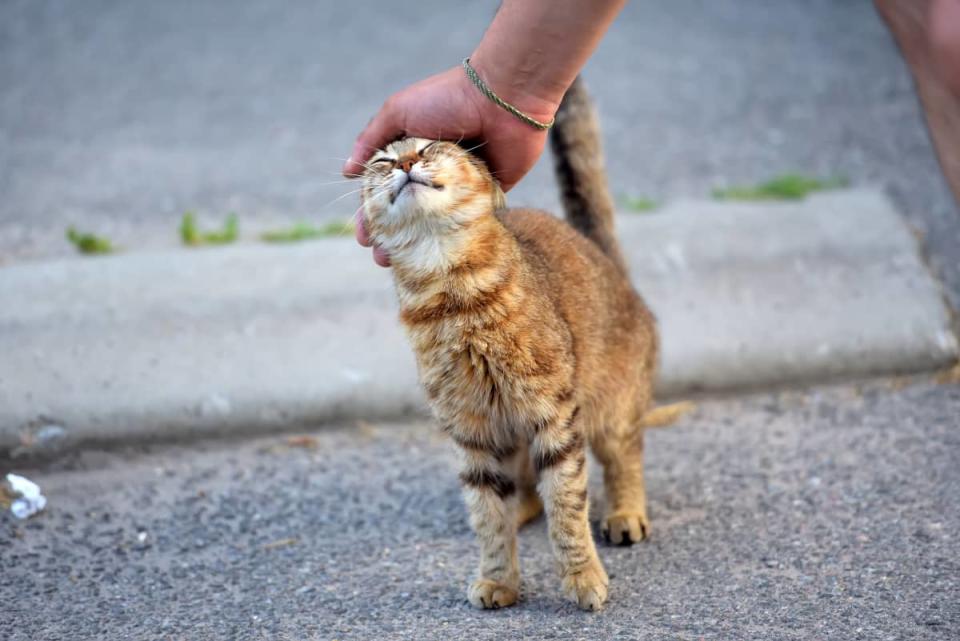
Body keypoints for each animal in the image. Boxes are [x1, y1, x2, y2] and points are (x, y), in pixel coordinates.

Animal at [362, 80, 660, 608]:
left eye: (429, 147)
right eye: (382, 161)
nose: (405, 163)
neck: (454, 299)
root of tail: (604, 258)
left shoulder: (555, 418)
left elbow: (567, 504)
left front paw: (583, 576)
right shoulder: (472, 433)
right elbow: (488, 516)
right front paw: (499, 578)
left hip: (611, 409)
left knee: (625, 456)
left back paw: (625, 513)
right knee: (522, 488)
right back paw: (523, 507)